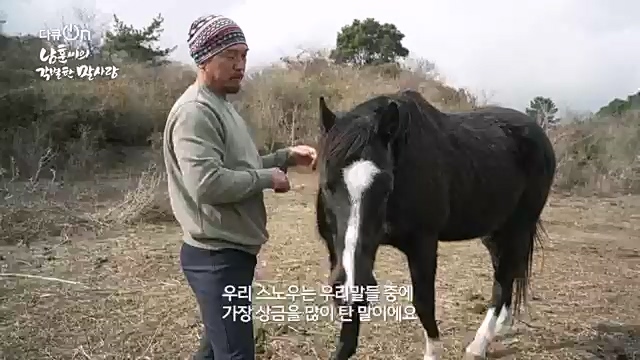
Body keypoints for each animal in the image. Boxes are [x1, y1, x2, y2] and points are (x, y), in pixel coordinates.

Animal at [316, 88, 556, 358]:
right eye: (327, 184)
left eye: (387, 186)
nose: (350, 284)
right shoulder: (341, 251)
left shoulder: (423, 244)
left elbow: (423, 302)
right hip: (495, 232)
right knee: (505, 273)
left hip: (519, 227)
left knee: (504, 279)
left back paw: (479, 344)